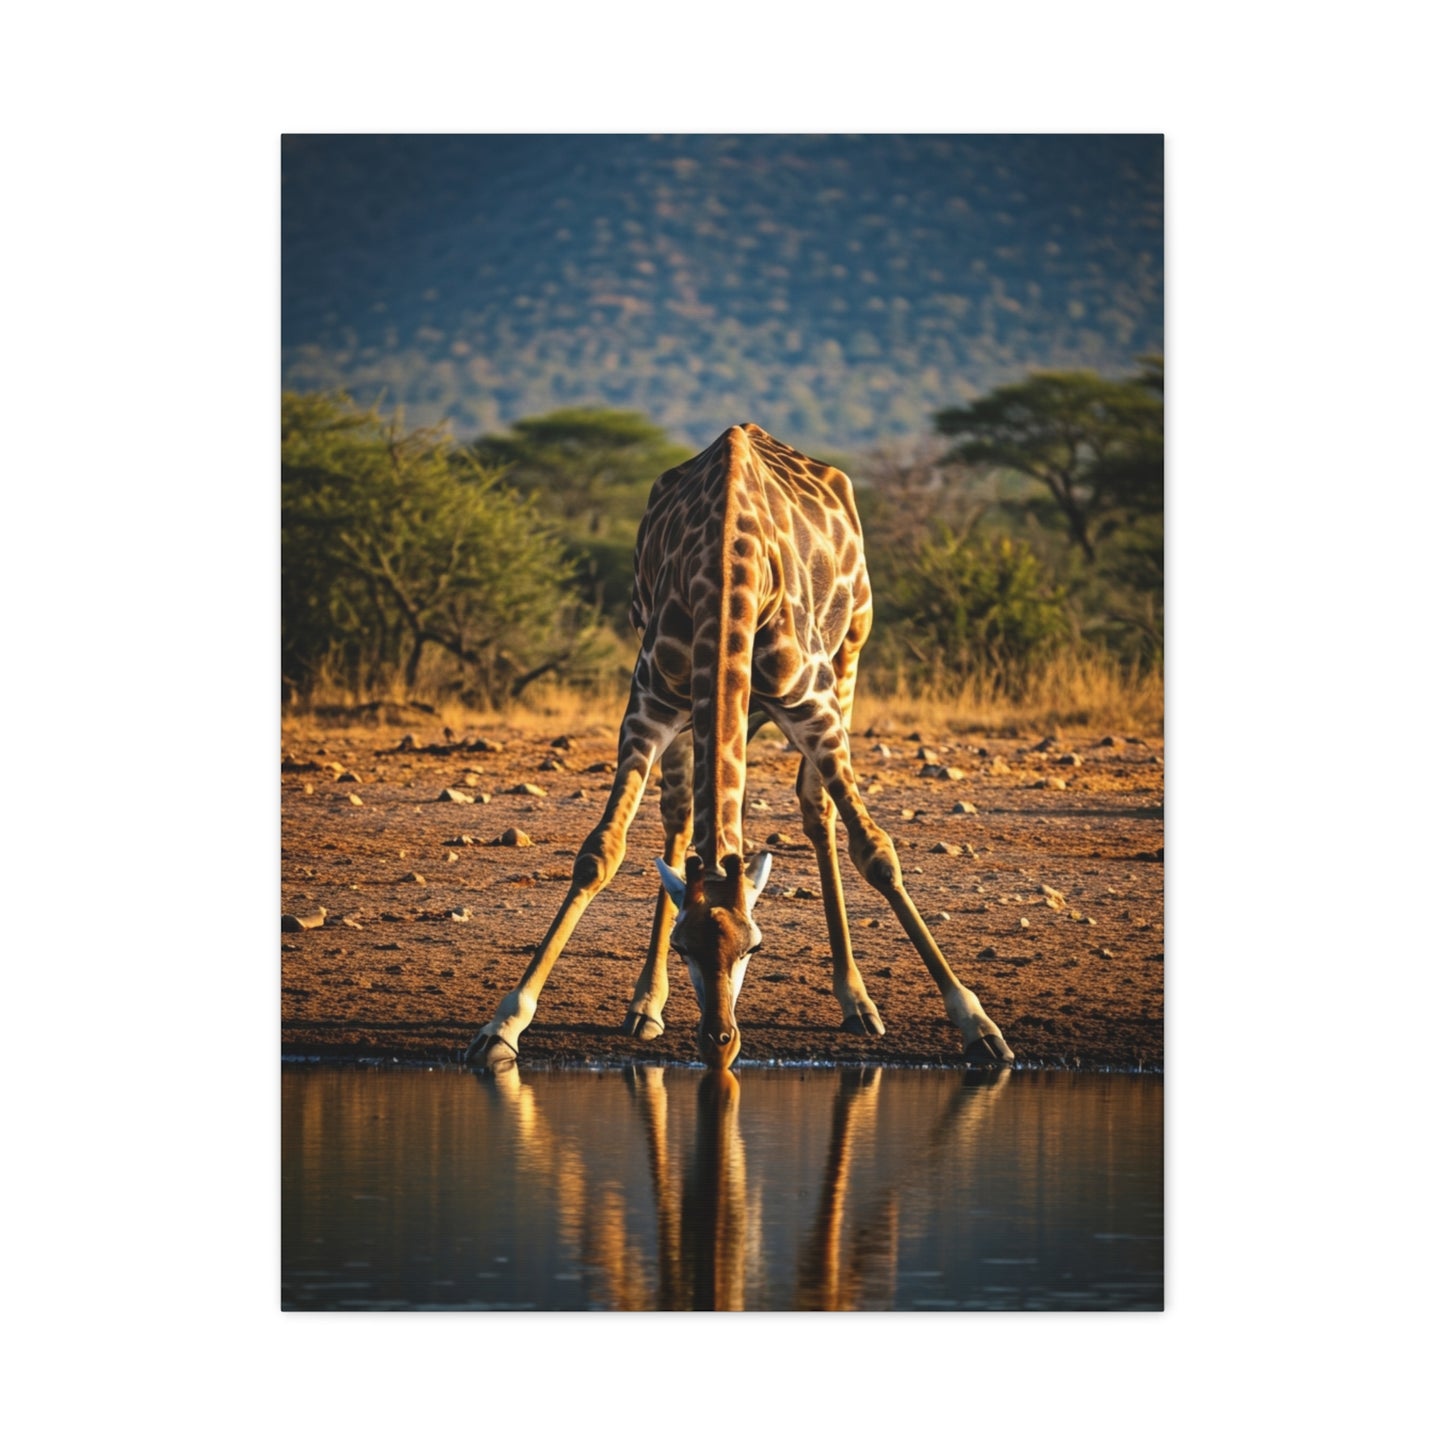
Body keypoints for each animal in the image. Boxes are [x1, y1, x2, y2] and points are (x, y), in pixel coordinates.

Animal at [463, 423, 1013, 1071]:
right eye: (685, 946)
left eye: (755, 946)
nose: (719, 1042)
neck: (727, 567)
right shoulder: (648, 706)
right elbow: (601, 852)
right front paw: (505, 1023)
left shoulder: (813, 705)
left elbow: (876, 851)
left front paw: (977, 1024)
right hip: (712, 713)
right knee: (681, 818)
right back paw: (646, 1005)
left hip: (849, 656)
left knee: (816, 806)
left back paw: (856, 999)